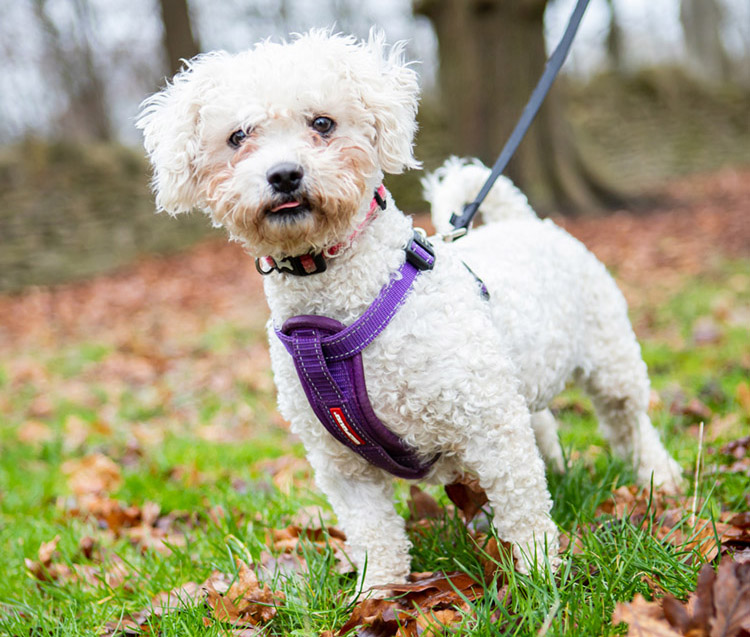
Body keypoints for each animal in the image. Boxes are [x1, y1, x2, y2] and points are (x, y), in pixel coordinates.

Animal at [138, 29, 684, 592]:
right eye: (238, 137)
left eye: (322, 123)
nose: (285, 175)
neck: (334, 314)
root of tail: (529, 221)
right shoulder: (342, 464)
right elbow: (374, 533)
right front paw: (378, 594)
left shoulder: (489, 423)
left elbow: (523, 507)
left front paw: (536, 575)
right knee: (546, 425)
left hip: (610, 361)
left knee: (629, 423)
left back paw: (659, 478)